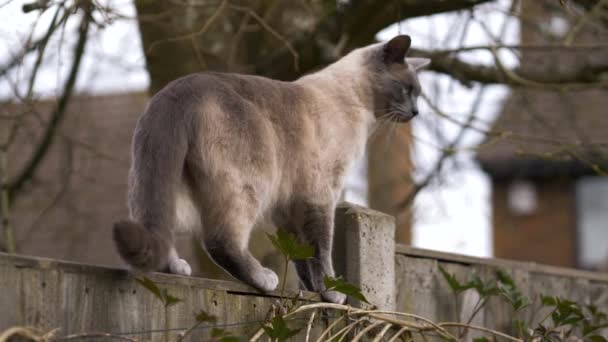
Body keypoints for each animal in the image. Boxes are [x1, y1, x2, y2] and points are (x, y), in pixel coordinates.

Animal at [113, 34, 428, 302]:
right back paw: (264, 278)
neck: (360, 109)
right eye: (407, 90)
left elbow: (300, 255)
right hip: (249, 186)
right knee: (219, 240)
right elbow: (322, 249)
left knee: (157, 226)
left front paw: (313, 291)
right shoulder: (322, 195)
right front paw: (331, 293)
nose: (416, 112)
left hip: (164, 185)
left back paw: (176, 267)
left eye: (417, 94)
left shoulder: (288, 207)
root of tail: (177, 89)